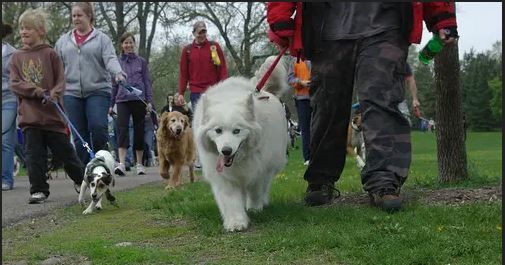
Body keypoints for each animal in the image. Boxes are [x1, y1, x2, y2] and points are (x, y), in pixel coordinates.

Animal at [193, 56, 288, 231]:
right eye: (218, 130)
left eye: (237, 131)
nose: (226, 151)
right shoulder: (225, 178)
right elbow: (231, 201)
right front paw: (236, 221)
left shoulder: (258, 170)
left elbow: (256, 191)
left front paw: (255, 208)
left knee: (264, 186)